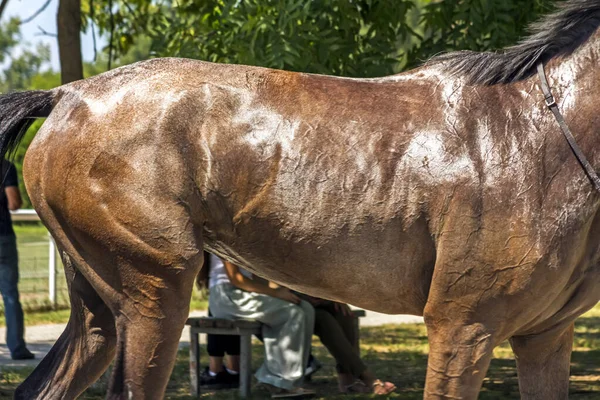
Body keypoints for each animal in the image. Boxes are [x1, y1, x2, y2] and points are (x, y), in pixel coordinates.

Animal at [1, 1, 600, 398]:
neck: (537, 134)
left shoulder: (545, 336)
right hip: (153, 292)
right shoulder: (464, 327)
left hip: (101, 311)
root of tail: (67, 94)